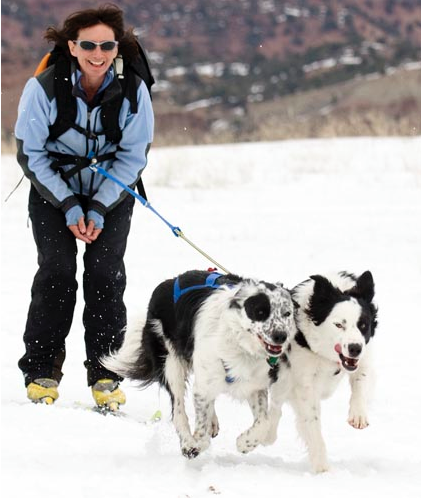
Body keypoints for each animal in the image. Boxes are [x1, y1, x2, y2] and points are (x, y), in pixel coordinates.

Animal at [101, 270, 294, 458]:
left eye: (287, 313)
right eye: (260, 312)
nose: (281, 336)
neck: (239, 342)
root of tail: (169, 282)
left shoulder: (254, 384)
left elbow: (264, 421)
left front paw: (245, 443)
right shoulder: (205, 378)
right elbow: (200, 427)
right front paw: (196, 444)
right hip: (171, 364)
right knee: (179, 410)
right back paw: (188, 441)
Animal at [264, 270, 376, 472]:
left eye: (363, 325)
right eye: (339, 325)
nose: (355, 348)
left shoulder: (364, 356)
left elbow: (361, 379)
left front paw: (358, 414)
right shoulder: (304, 383)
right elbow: (312, 424)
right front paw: (322, 468)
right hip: (283, 377)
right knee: (276, 404)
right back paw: (266, 435)